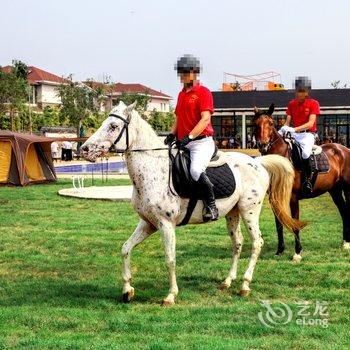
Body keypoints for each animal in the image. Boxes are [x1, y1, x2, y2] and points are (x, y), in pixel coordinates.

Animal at [80, 100, 304, 304]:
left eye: (113, 126)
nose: (84, 149)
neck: (153, 170)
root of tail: (258, 162)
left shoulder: (165, 224)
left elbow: (170, 259)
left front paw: (170, 295)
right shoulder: (148, 223)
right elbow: (125, 248)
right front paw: (127, 290)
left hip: (249, 210)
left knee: (257, 242)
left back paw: (245, 285)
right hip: (233, 213)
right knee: (237, 243)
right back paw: (227, 281)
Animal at [253, 102, 350, 262]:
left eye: (271, 123)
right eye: (255, 124)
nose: (263, 144)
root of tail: (343, 149)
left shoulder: (293, 197)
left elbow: (295, 224)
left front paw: (297, 253)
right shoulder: (274, 198)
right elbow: (279, 224)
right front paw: (280, 250)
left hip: (347, 188)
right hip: (334, 190)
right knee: (343, 210)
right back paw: (345, 243)